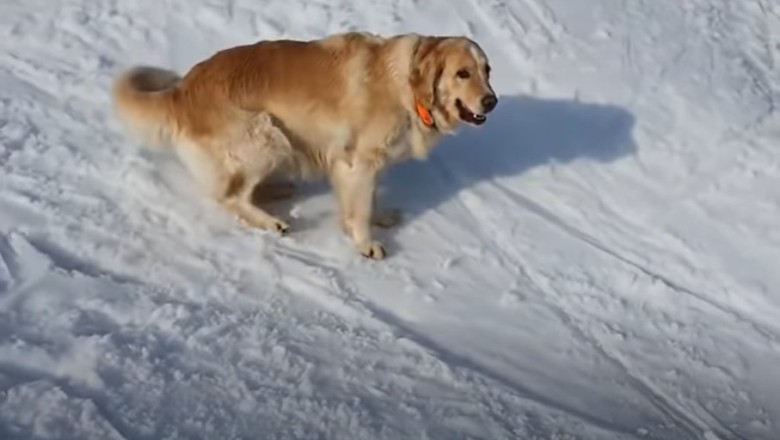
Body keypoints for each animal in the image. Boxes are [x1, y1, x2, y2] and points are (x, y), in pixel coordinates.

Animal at [112, 32, 496, 260]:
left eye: (487, 70)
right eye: (462, 73)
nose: (491, 101)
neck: (408, 87)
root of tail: (181, 90)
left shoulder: (355, 164)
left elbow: (367, 201)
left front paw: (379, 218)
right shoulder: (357, 161)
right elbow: (360, 209)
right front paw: (365, 243)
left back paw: (279, 191)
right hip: (267, 136)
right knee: (230, 197)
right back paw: (271, 222)